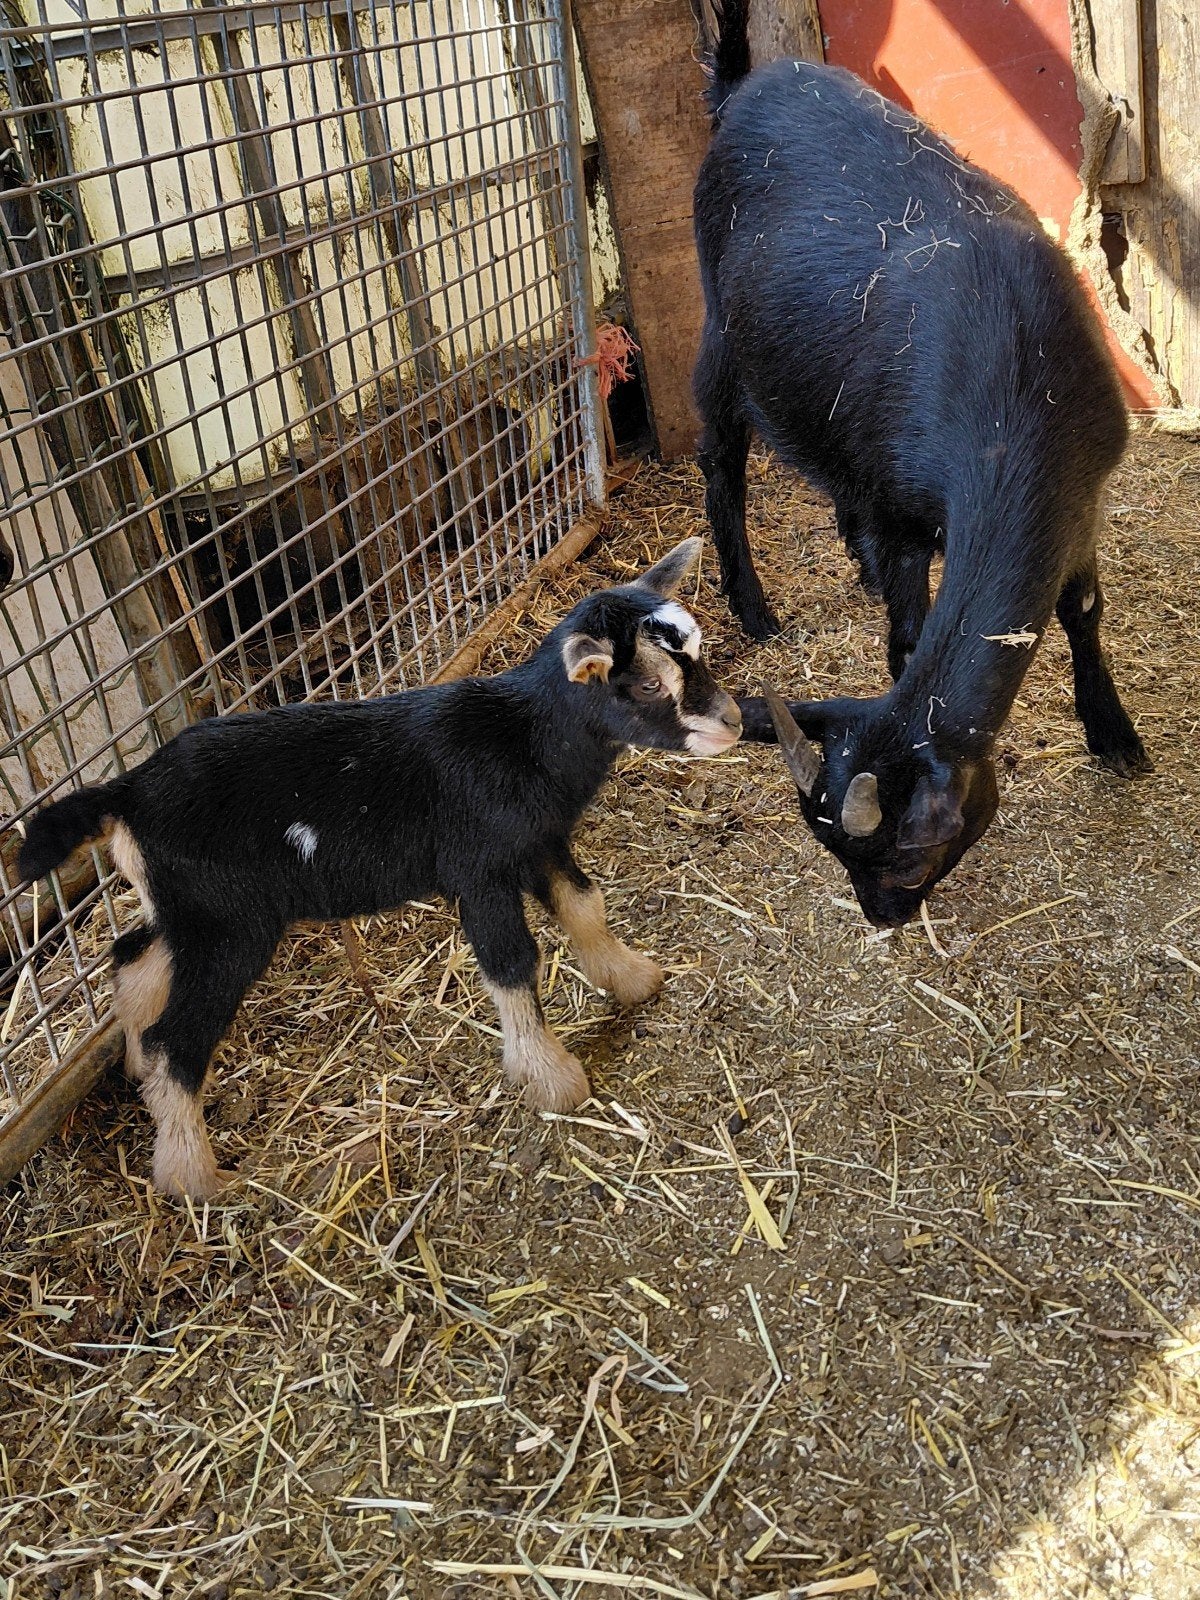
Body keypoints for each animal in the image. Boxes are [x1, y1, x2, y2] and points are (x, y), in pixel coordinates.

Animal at [18, 538, 741, 1199]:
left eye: (698, 652)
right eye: (646, 684)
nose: (733, 722)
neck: (522, 738)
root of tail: (128, 794)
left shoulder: (537, 842)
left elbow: (585, 905)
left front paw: (632, 978)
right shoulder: (479, 869)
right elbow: (512, 964)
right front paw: (551, 1078)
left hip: (187, 910)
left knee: (134, 960)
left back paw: (142, 1074)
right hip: (231, 928)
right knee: (177, 1039)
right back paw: (194, 1175)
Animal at [692, 1, 1149, 928]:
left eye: (910, 857)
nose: (883, 917)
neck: (1011, 396)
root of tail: (743, 86)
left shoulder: (1079, 495)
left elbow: (1083, 609)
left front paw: (1113, 732)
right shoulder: (903, 514)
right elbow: (907, 637)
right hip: (723, 331)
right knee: (722, 468)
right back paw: (753, 607)